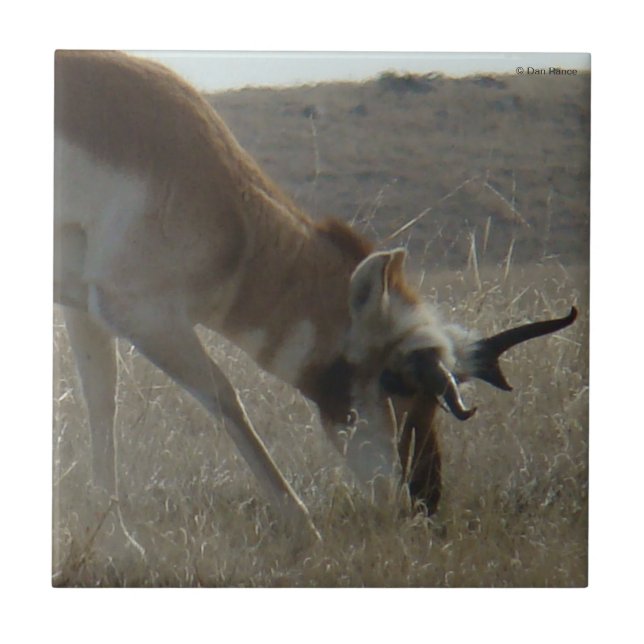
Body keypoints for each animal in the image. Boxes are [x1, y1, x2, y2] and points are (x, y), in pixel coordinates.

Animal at [54, 50, 577, 538]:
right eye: (395, 380)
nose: (425, 499)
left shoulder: (87, 311)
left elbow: (101, 403)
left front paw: (114, 538)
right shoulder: (144, 315)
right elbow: (225, 398)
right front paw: (304, 525)